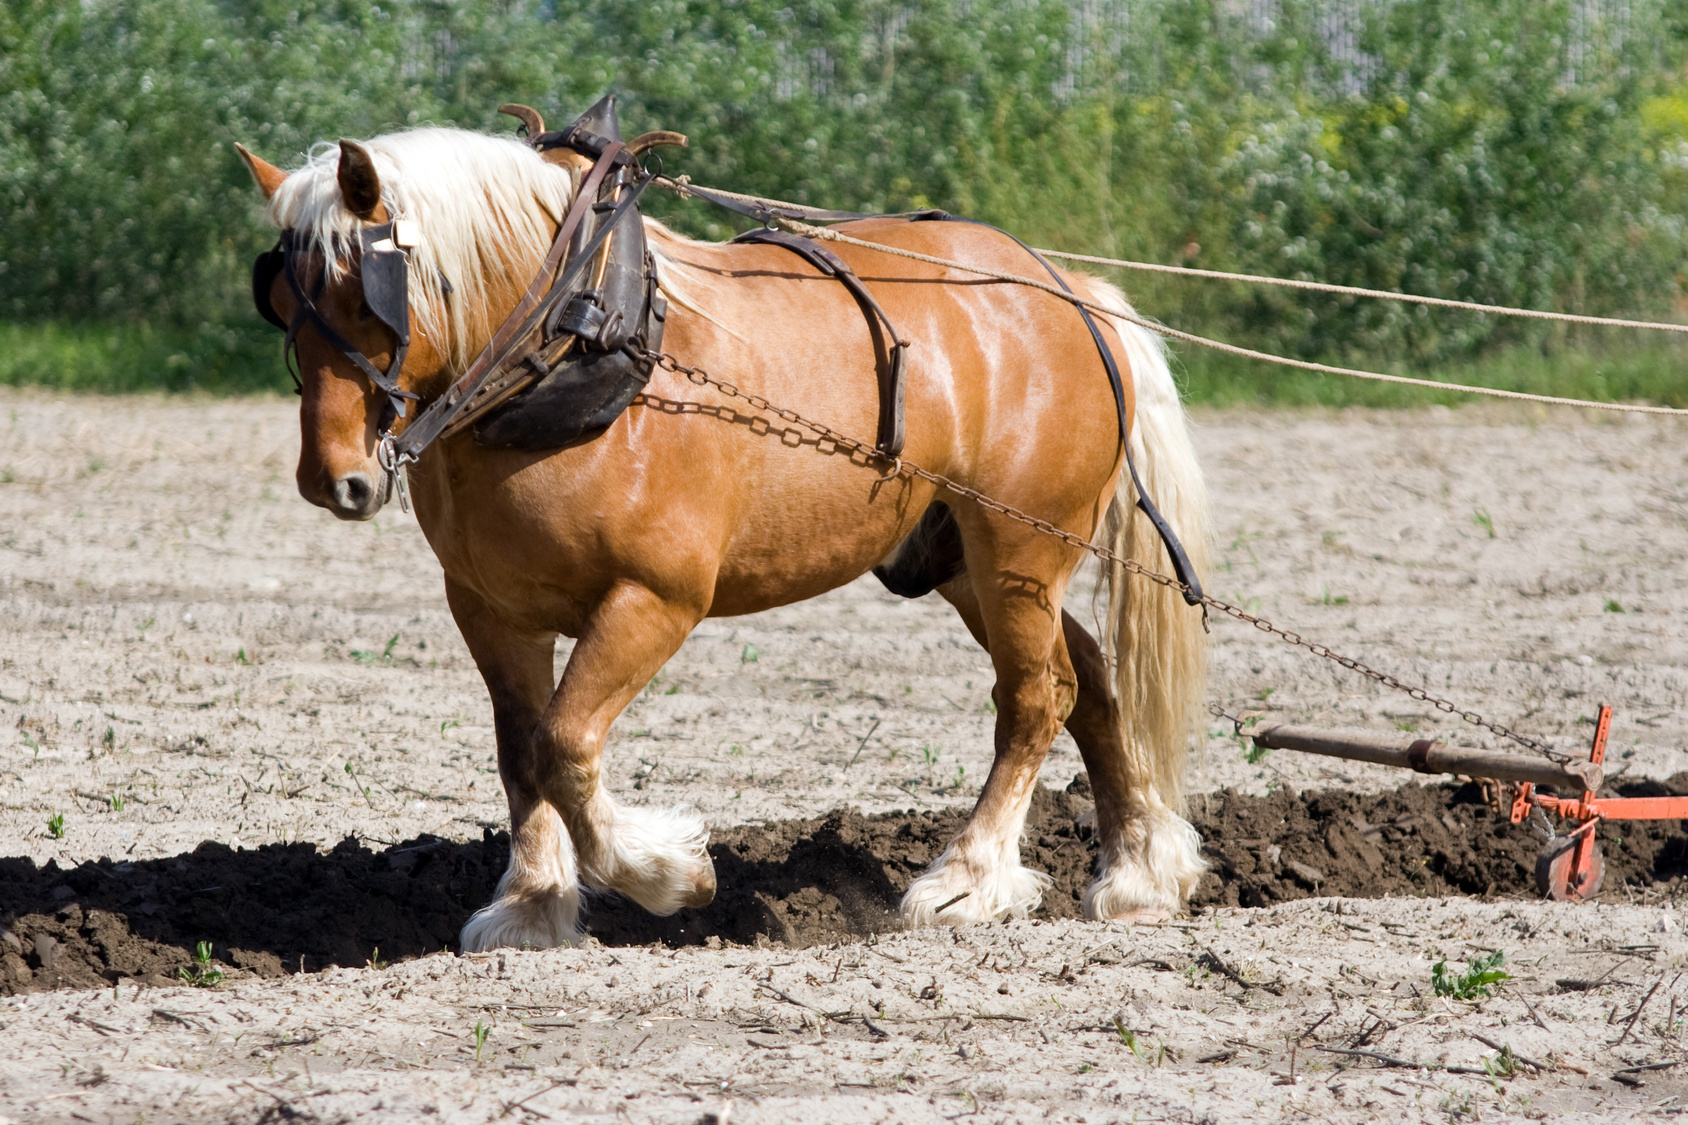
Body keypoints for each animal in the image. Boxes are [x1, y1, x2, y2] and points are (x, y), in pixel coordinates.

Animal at [241, 125, 1215, 945]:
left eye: (366, 296)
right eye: (281, 297)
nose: (334, 479)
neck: (576, 350)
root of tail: (1066, 290)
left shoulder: (656, 596)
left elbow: (565, 744)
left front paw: (667, 872)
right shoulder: (490, 609)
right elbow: (522, 754)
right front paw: (533, 907)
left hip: (1020, 550)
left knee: (1033, 697)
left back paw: (967, 882)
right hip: (973, 564)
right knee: (1087, 680)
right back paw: (1140, 873)